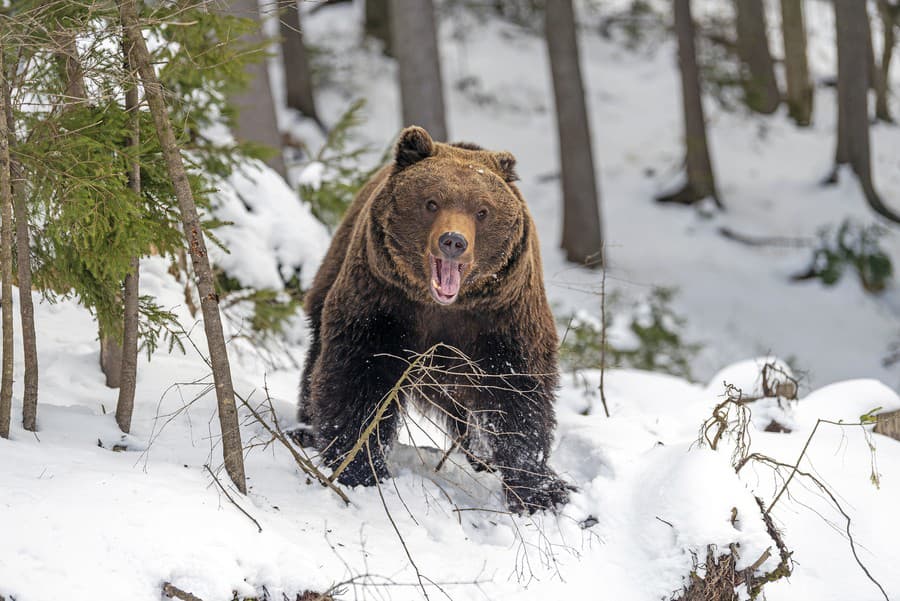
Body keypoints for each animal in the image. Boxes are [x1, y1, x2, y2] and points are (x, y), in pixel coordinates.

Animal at [302, 125, 568, 510]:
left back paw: (479, 456)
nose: (453, 241)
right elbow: (358, 379)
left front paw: (541, 490)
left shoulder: (502, 319)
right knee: (316, 353)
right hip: (336, 265)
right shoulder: (384, 306)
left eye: (482, 210)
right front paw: (359, 467)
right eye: (431, 202)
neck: (444, 307)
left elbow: (519, 395)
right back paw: (304, 427)